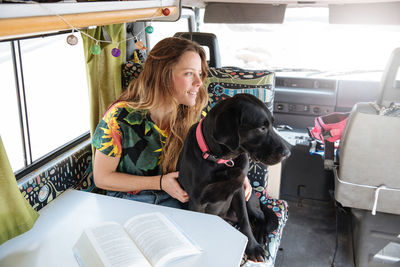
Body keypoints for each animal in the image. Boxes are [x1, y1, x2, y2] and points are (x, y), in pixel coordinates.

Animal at [178, 93, 290, 262]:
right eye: (261, 128)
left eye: (272, 124)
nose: (287, 153)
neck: (223, 161)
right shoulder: (197, 201)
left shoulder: (239, 190)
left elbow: (245, 221)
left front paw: (252, 247)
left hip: (250, 200)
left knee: (261, 216)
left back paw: (261, 234)